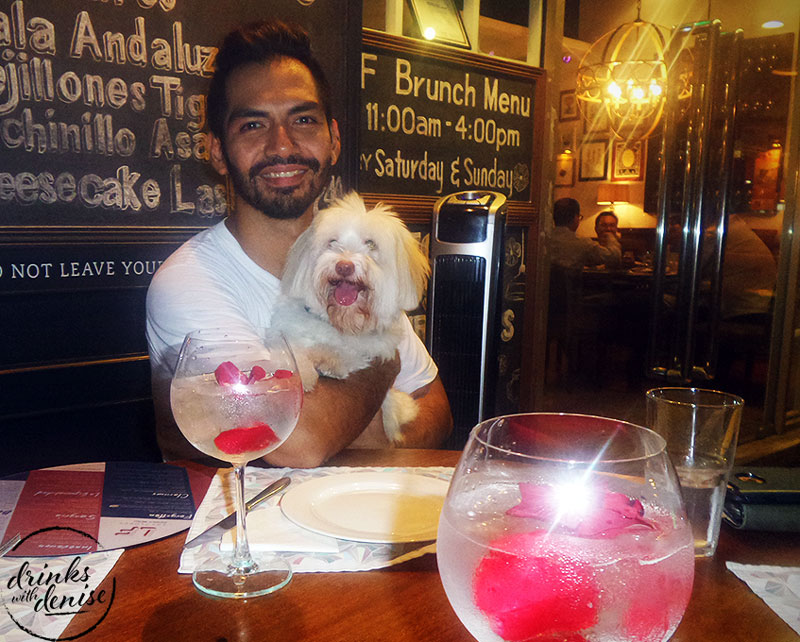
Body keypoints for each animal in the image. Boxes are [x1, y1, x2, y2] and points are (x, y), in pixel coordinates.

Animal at [271, 191, 431, 444]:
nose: (344, 266)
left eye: (371, 244)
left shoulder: (370, 352)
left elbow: (348, 356)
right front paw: (304, 375)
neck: (340, 323)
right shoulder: (287, 332)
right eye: (332, 242)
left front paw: (329, 361)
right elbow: (294, 353)